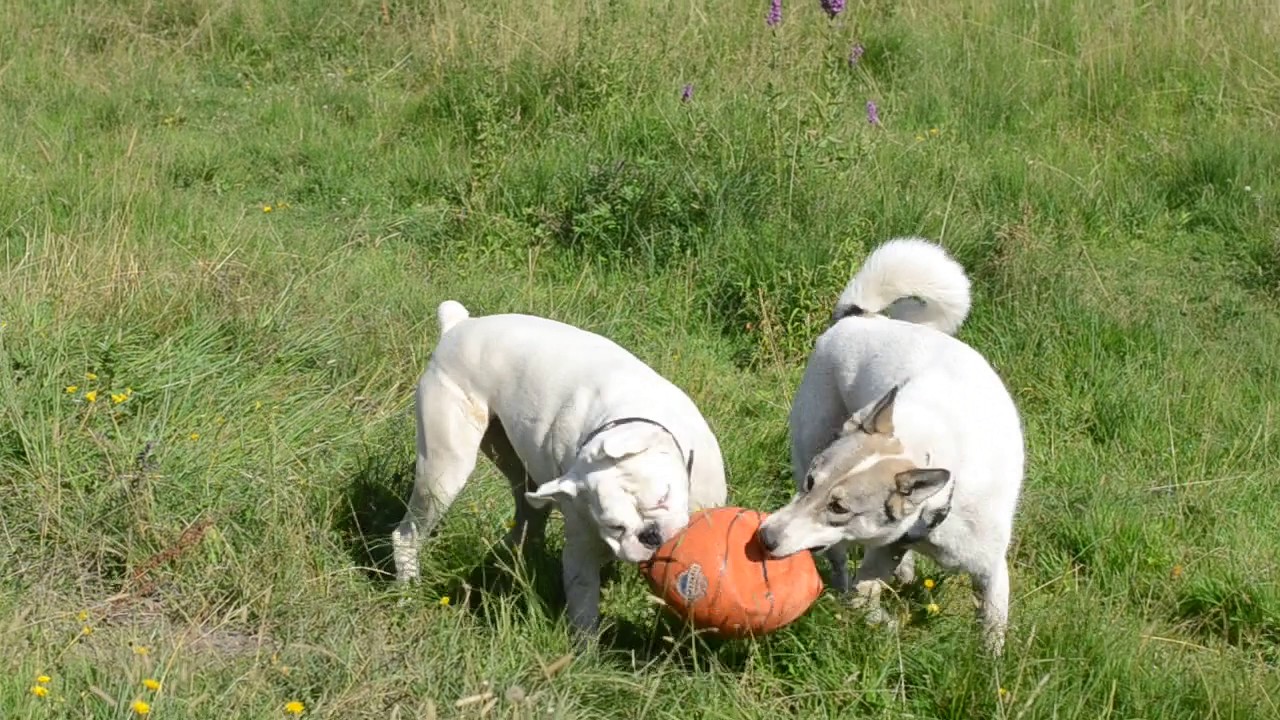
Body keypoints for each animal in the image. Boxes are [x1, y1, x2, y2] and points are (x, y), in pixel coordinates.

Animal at [389, 299, 727, 630]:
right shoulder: (581, 550)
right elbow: (583, 612)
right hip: (443, 471)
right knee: (408, 532)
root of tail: (457, 326)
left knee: (527, 515)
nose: (651, 536)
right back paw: (407, 592)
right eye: (614, 526)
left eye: (663, 497)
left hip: (518, 469)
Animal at [752, 238, 1024, 653]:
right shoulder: (883, 549)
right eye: (812, 484)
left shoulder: (990, 568)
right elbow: (864, 603)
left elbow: (992, 629)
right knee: (840, 565)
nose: (764, 537)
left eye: (839, 508)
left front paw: (990, 665)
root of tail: (858, 317)